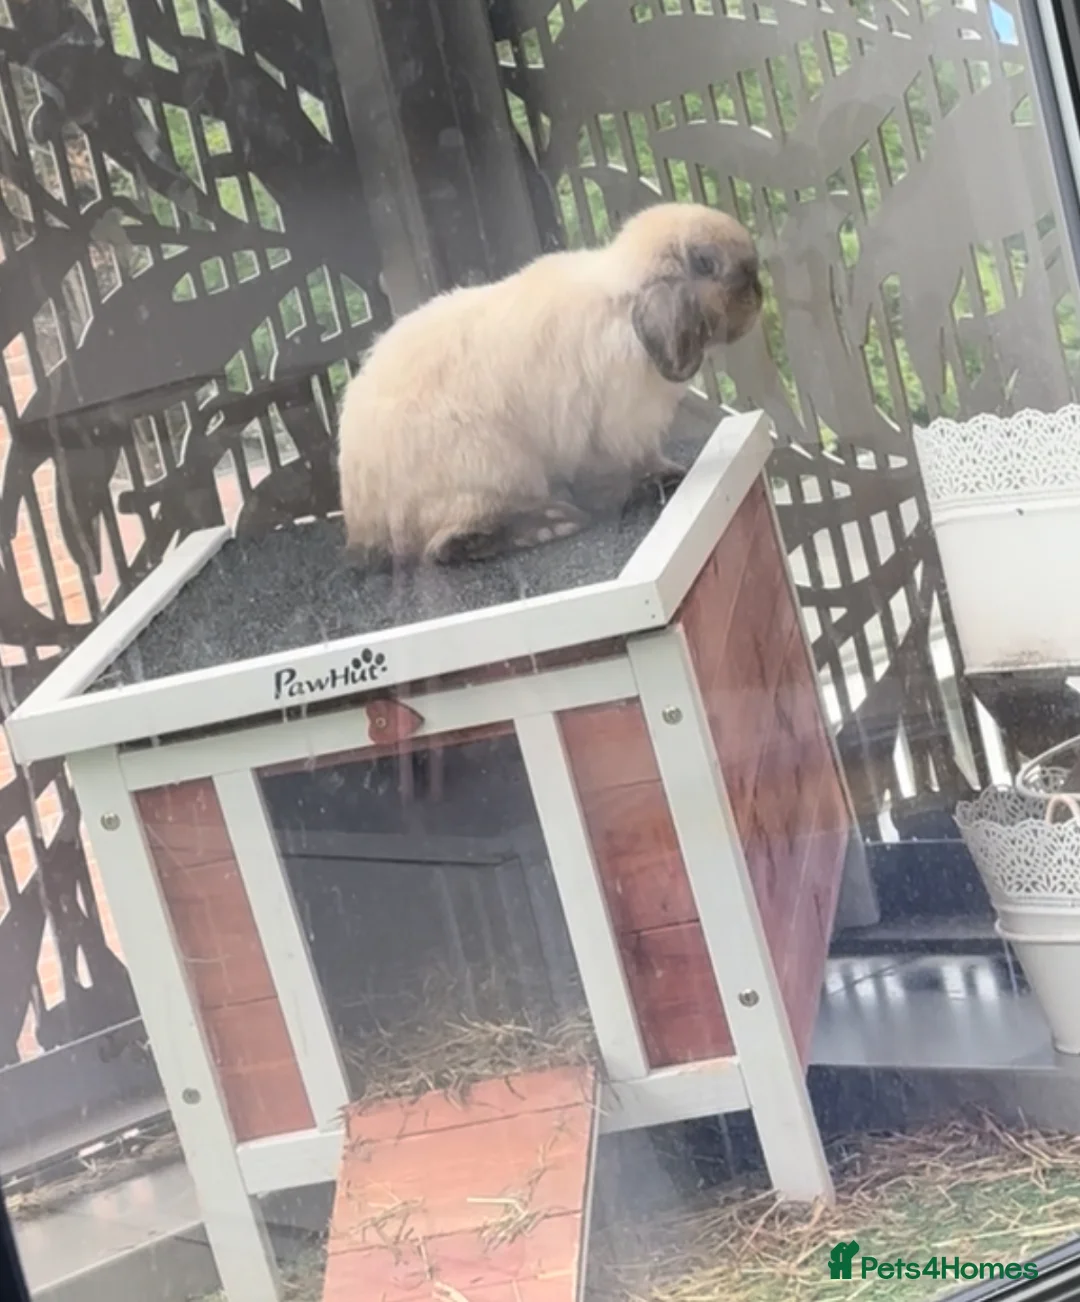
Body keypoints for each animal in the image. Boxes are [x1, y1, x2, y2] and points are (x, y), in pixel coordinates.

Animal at [336, 201, 763, 563]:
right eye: (709, 265)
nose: (759, 292)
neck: (623, 307)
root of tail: (363, 520)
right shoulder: (608, 430)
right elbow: (617, 470)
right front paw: (652, 485)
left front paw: (668, 473)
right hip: (491, 468)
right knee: (448, 544)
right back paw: (551, 524)